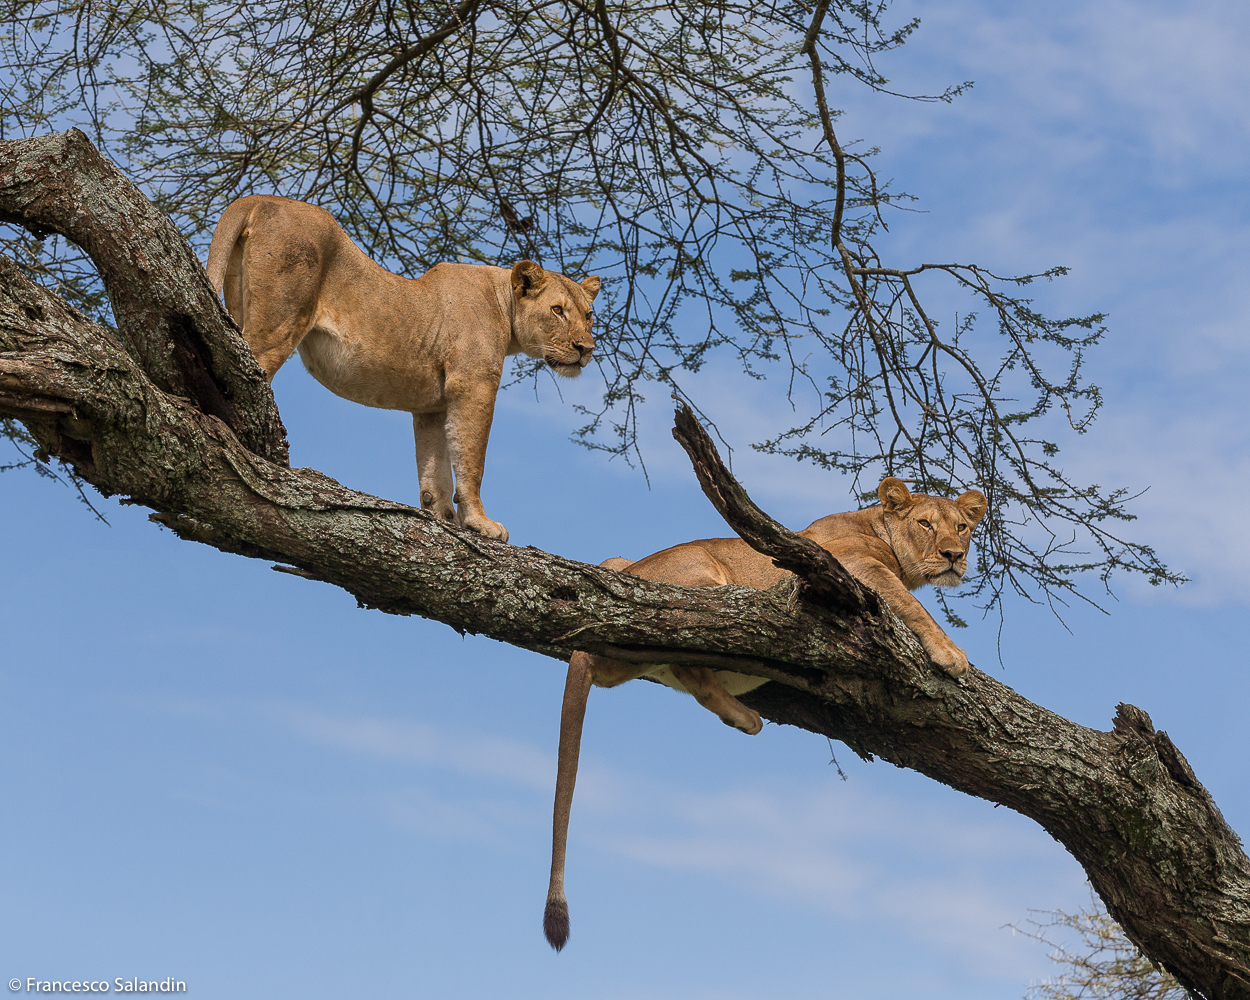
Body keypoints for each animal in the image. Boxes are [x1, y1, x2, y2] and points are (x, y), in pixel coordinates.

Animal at [205, 195, 601, 542]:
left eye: (588, 315)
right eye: (557, 310)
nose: (586, 349)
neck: (504, 304)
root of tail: (260, 198)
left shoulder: (432, 406)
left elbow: (435, 467)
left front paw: (442, 519)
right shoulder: (473, 386)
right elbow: (471, 459)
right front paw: (480, 523)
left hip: (239, 308)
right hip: (280, 320)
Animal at [542, 476, 988, 949]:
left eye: (962, 527)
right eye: (925, 524)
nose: (954, 556)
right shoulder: (853, 570)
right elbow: (912, 606)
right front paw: (951, 655)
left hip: (619, 566)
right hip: (703, 578)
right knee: (688, 648)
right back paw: (748, 714)